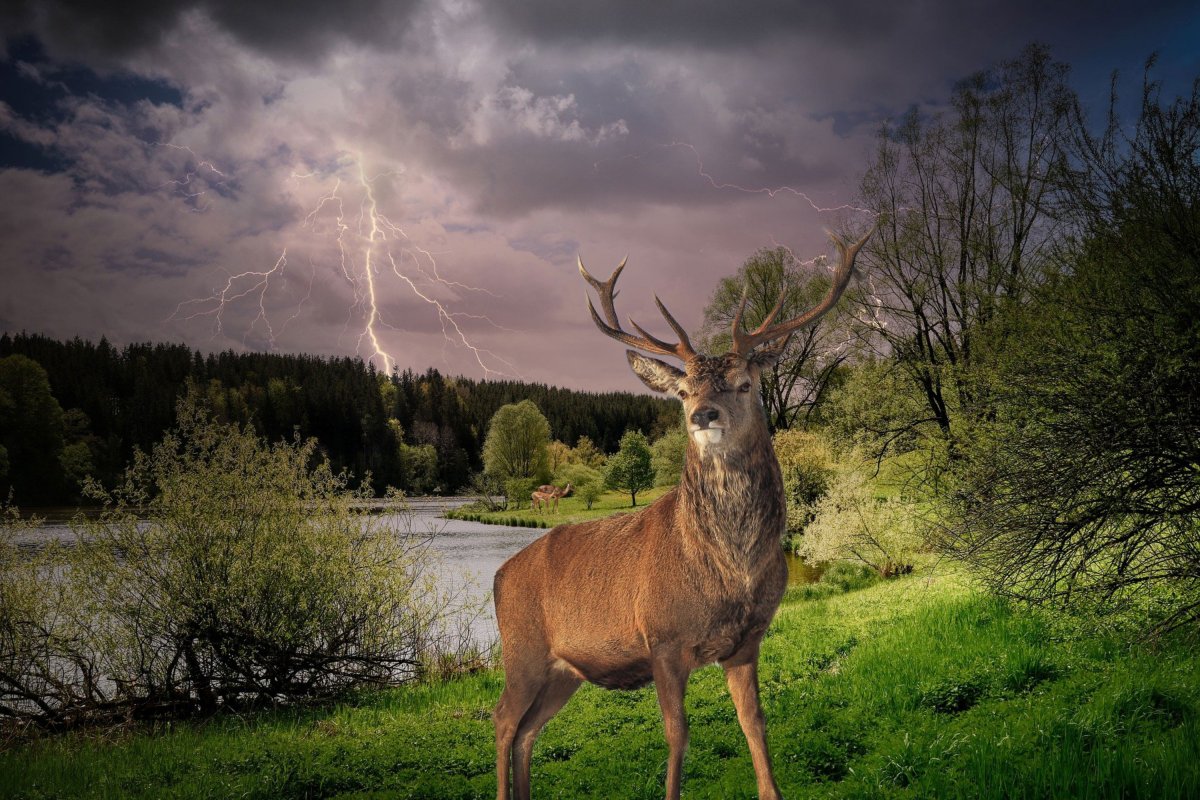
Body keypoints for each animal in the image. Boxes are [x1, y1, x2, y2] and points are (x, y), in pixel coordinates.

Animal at [492, 227, 878, 796]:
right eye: (682, 390)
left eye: (745, 383)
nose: (703, 414)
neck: (730, 570)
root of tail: (497, 577)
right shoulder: (664, 640)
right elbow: (678, 734)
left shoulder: (747, 640)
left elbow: (755, 722)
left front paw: (771, 789)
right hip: (521, 653)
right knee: (502, 721)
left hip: (563, 672)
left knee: (526, 732)